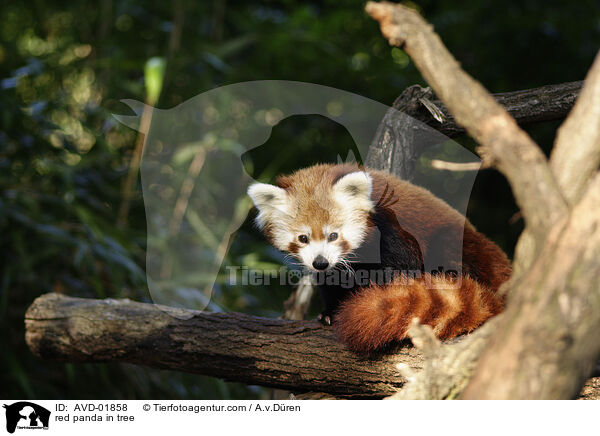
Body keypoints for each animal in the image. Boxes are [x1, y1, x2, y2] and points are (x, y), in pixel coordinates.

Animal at [248, 162, 510, 352]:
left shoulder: (392, 230)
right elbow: (331, 282)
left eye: (333, 235)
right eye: (303, 238)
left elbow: (404, 268)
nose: (320, 262)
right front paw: (329, 312)